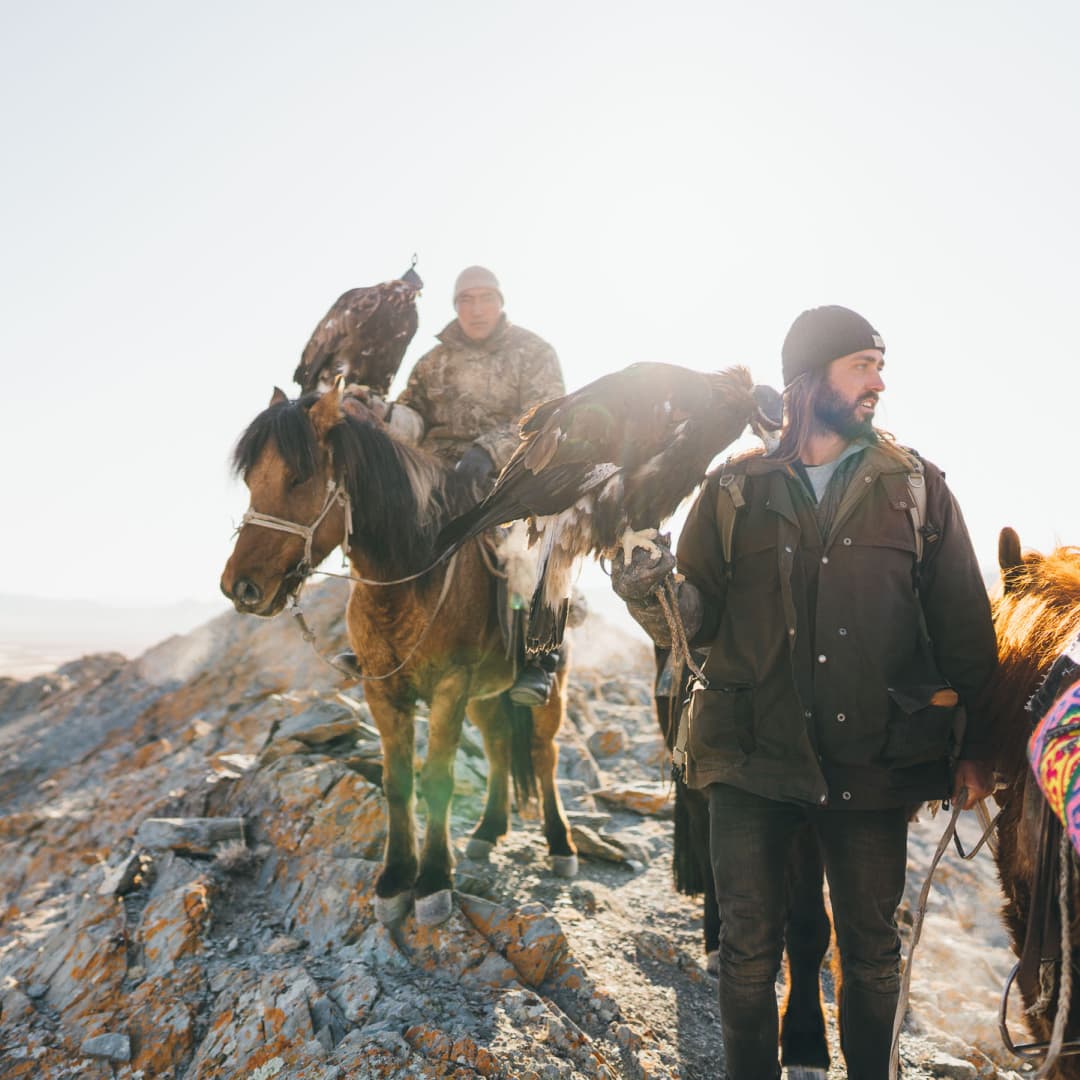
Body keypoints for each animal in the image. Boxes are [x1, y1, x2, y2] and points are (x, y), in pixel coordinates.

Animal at [217, 384, 574, 924]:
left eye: (298, 477)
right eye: (252, 480)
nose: (240, 587)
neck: (410, 581)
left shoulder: (450, 688)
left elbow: (438, 778)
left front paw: (432, 881)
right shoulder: (382, 690)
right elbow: (397, 780)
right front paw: (395, 877)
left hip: (545, 690)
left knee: (543, 754)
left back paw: (560, 845)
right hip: (485, 696)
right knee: (497, 746)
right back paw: (488, 829)